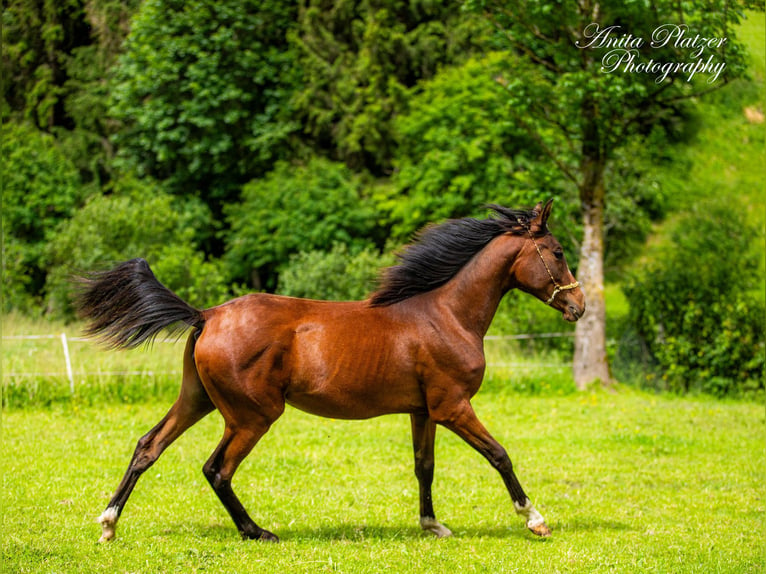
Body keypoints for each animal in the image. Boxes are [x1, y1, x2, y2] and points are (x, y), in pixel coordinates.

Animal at [78, 201, 584, 544]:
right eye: (557, 251)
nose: (578, 306)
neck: (447, 315)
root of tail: (206, 314)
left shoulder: (423, 411)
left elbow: (424, 467)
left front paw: (432, 524)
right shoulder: (453, 407)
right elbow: (500, 455)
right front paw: (535, 520)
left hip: (197, 400)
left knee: (149, 446)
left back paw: (108, 524)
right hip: (250, 416)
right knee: (216, 469)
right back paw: (257, 532)